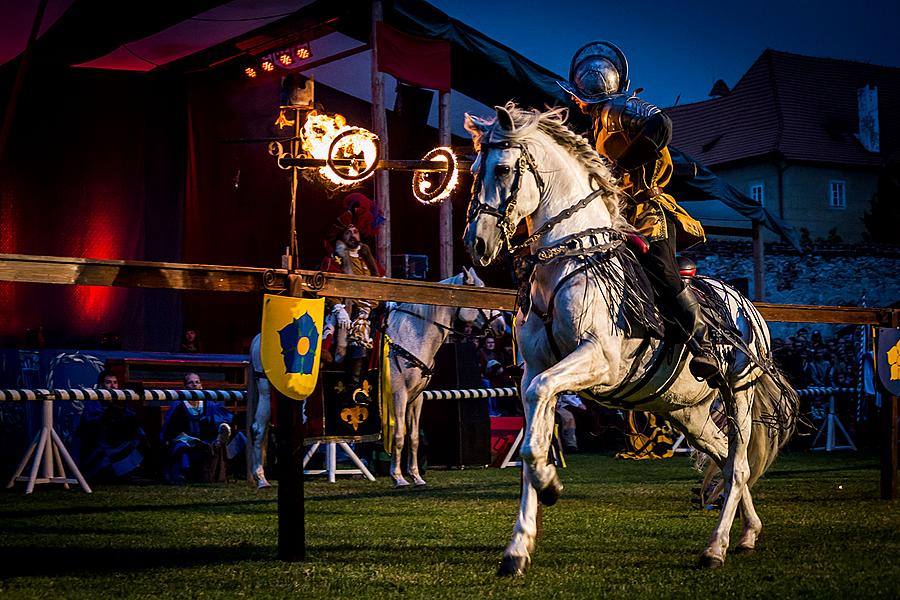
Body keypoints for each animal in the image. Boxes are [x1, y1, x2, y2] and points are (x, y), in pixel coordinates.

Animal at [384, 268, 502, 488]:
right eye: (479, 295)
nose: (501, 325)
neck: (408, 336)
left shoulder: (416, 398)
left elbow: (413, 437)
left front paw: (416, 476)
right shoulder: (398, 395)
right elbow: (398, 435)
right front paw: (398, 477)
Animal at [460, 103, 800, 572]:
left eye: (505, 168)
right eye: (476, 169)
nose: (477, 243)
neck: (570, 257)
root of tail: (750, 311)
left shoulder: (596, 360)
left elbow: (540, 406)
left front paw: (549, 485)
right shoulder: (534, 370)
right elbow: (530, 444)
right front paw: (518, 547)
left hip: (738, 395)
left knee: (738, 467)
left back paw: (716, 547)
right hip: (687, 412)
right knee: (726, 457)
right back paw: (748, 533)